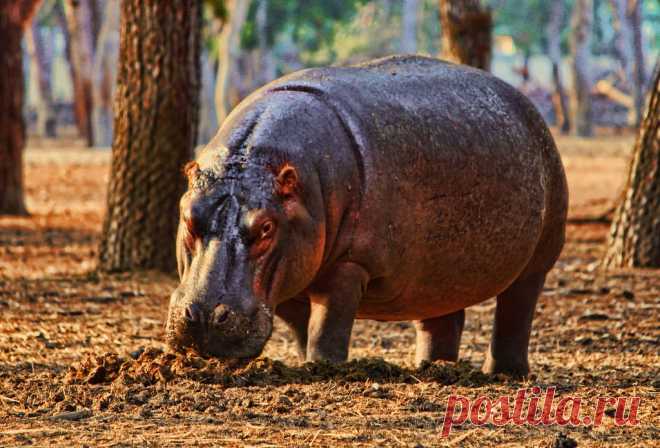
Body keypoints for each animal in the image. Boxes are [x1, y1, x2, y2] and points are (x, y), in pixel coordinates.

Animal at [166, 55, 568, 376]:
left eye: (266, 226)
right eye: (187, 216)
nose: (204, 316)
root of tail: (525, 103)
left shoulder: (349, 264)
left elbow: (327, 323)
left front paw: (321, 367)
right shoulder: (294, 267)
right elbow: (301, 324)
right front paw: (304, 361)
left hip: (538, 259)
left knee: (517, 310)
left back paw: (504, 372)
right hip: (436, 272)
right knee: (442, 318)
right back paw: (432, 368)